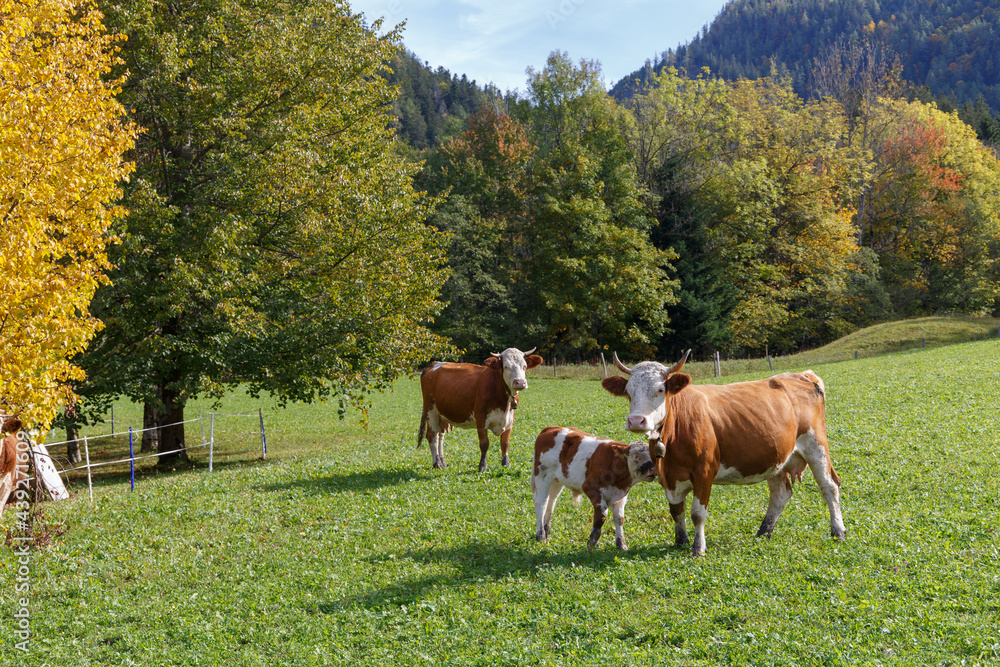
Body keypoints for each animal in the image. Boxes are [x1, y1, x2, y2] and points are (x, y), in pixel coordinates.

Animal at [602, 350, 845, 556]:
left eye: (660, 390)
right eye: (629, 392)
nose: (636, 421)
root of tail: (804, 375)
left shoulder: (704, 472)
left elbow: (697, 513)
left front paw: (698, 548)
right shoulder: (669, 477)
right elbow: (676, 510)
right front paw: (680, 541)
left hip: (816, 445)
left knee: (829, 486)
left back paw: (838, 531)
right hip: (777, 456)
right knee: (780, 493)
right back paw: (763, 532)